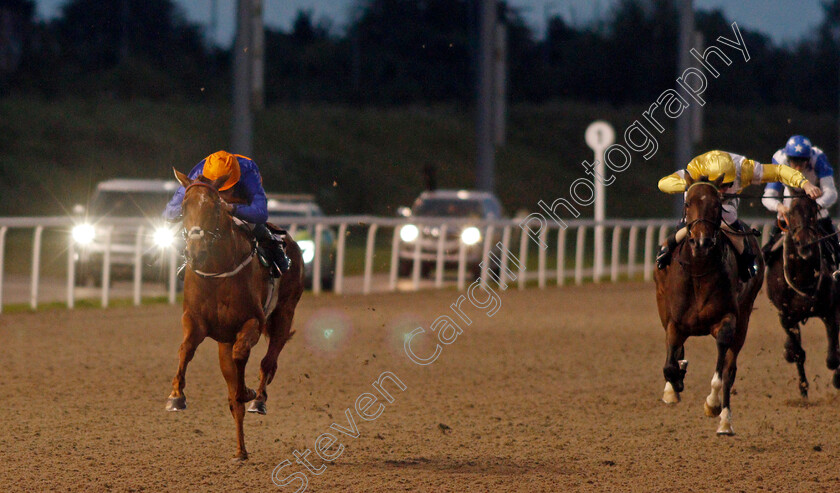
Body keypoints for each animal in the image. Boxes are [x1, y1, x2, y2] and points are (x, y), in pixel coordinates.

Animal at [163, 169, 302, 462]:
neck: (217, 271)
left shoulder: (253, 322)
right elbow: (185, 350)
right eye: (184, 207)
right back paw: (241, 450)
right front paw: (176, 396)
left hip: (285, 312)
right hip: (224, 342)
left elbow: (242, 357)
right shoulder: (195, 321)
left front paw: (247, 391)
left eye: (215, 207)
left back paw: (258, 399)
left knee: (268, 362)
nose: (196, 252)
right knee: (233, 394)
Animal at [656, 174, 768, 434]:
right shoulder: (674, 322)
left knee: (730, 369)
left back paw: (725, 422)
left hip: (744, 319)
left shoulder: (727, 321)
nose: (701, 242)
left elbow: (721, 372)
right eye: (688, 203)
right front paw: (674, 384)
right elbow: (669, 364)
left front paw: (713, 404)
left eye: (718, 206)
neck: (699, 270)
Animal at [764, 194, 836, 398]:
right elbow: (798, 353)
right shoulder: (786, 317)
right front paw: (803, 387)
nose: (804, 243)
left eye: (812, 213)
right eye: (790, 216)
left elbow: (832, 358)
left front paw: (837, 378)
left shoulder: (830, 310)